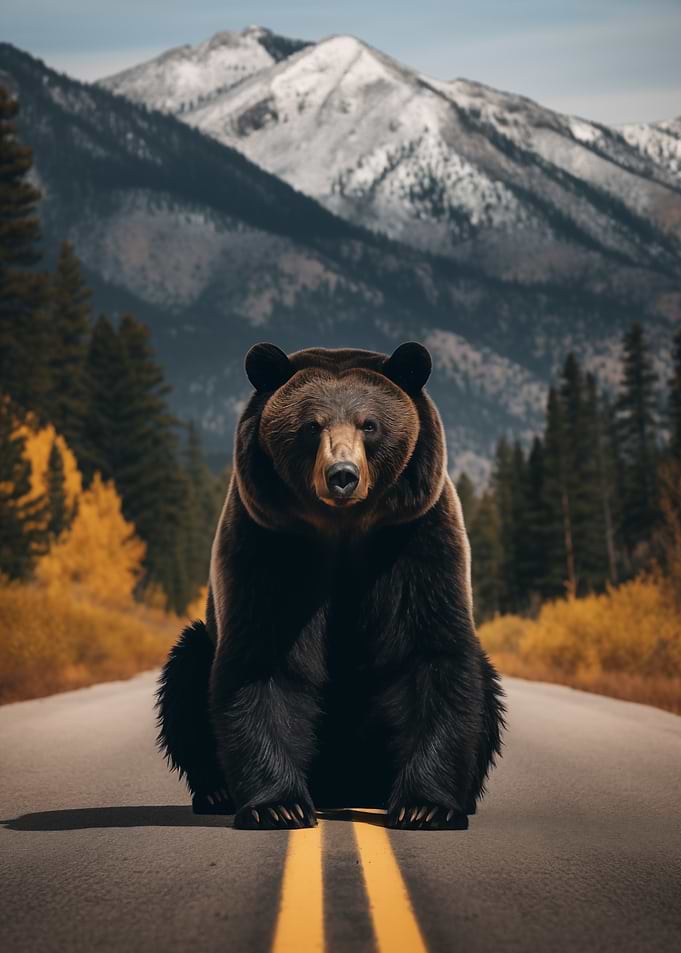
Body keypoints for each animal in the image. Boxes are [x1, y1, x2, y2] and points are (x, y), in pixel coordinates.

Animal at [157, 342, 505, 830]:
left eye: (369, 424)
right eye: (311, 425)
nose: (342, 474)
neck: (343, 527)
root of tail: (345, 789)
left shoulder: (414, 538)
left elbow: (429, 652)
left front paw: (424, 807)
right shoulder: (270, 542)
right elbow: (265, 660)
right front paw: (278, 805)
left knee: (485, 684)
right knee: (185, 673)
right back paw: (216, 791)